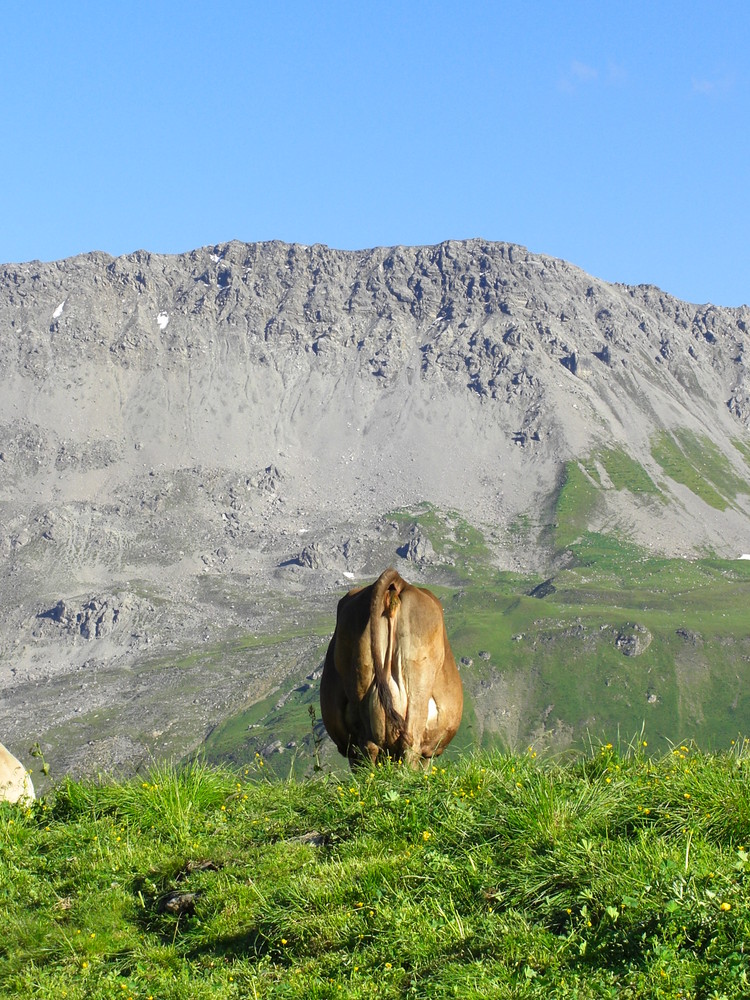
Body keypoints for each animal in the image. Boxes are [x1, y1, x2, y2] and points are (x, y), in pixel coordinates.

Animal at [322, 572, 464, 764]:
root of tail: (399, 584)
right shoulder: (428, 753)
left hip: (361, 680)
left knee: (370, 745)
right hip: (418, 684)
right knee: (410, 743)